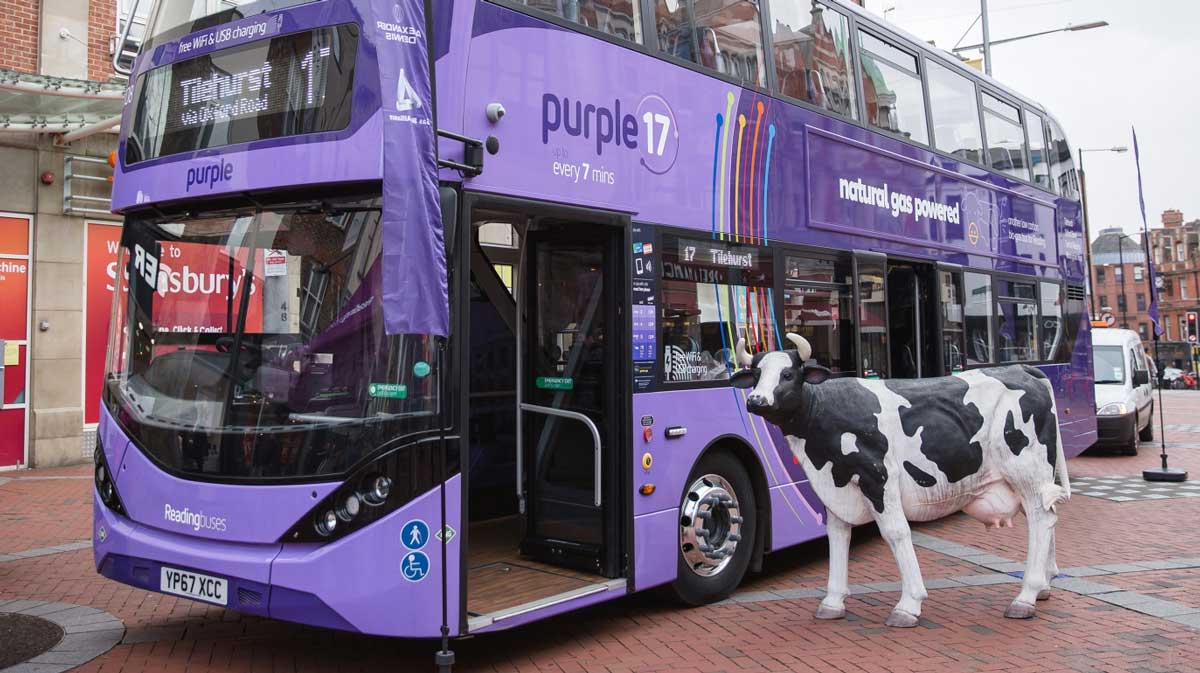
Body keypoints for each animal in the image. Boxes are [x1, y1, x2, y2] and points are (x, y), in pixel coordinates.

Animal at [729, 333, 1070, 628]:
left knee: (1041, 519)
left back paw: (1026, 596)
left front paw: (909, 604)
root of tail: (1022, 368)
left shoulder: (878, 478)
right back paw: (1043, 586)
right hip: (1027, 477)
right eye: (756, 373)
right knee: (1048, 516)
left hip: (1027, 468)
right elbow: (837, 536)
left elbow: (895, 533)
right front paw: (832, 602)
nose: (756, 400)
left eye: (787, 374)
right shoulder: (837, 485)